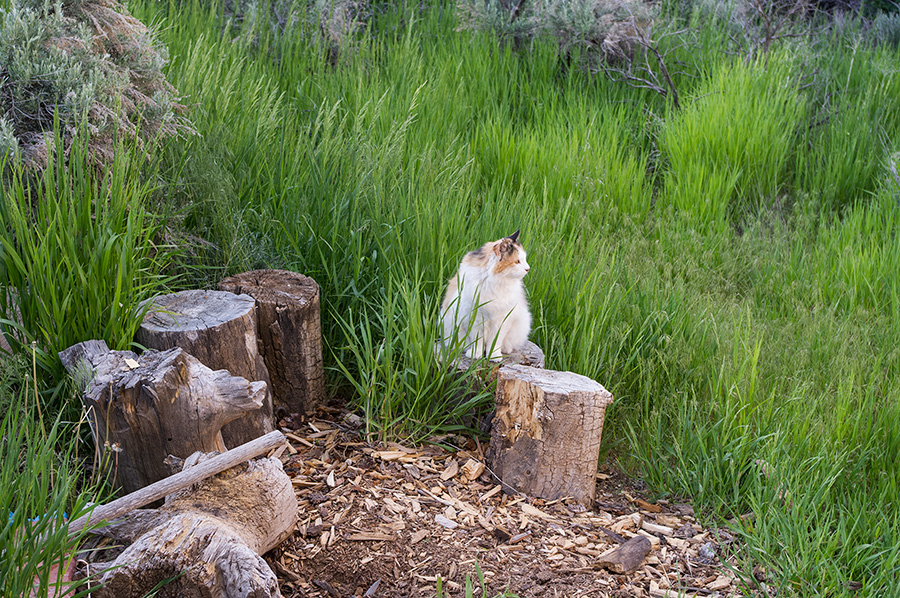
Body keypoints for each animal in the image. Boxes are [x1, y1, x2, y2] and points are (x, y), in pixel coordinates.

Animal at [440, 230, 532, 360]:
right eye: (517, 261)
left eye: (524, 259)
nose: (528, 268)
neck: (493, 282)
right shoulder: (475, 318)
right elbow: (477, 341)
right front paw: (475, 354)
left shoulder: (502, 319)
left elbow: (495, 341)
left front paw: (494, 355)